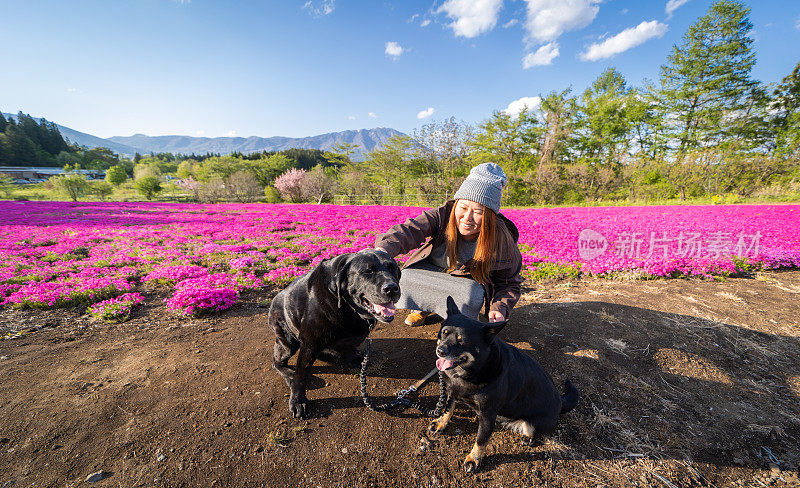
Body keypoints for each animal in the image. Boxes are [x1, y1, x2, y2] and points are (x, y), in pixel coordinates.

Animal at [268, 250, 400, 418]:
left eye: (392, 268)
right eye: (367, 271)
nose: (392, 288)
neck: (348, 307)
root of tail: (274, 299)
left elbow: (349, 347)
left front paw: (356, 359)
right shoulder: (309, 345)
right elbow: (301, 375)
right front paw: (297, 400)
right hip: (287, 342)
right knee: (277, 363)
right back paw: (290, 374)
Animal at [428, 296, 580, 470]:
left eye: (462, 341)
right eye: (443, 333)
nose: (440, 351)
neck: (474, 370)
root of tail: (560, 401)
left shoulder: (488, 414)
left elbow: (481, 439)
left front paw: (474, 459)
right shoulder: (452, 392)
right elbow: (448, 409)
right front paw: (441, 423)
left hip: (532, 424)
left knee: (534, 433)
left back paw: (528, 439)